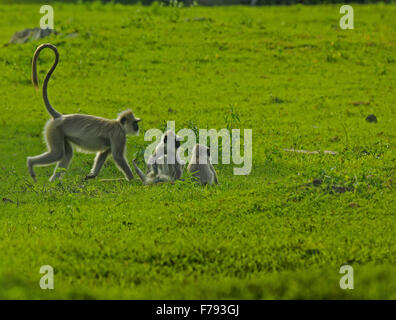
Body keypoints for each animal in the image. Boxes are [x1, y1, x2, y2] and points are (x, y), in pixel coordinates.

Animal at [26, 43, 141, 181]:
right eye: (135, 123)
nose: (137, 127)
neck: (118, 124)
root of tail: (60, 117)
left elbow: (103, 154)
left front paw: (92, 175)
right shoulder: (118, 136)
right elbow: (118, 157)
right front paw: (133, 179)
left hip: (60, 133)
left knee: (67, 154)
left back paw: (54, 182)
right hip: (54, 130)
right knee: (58, 154)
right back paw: (31, 163)